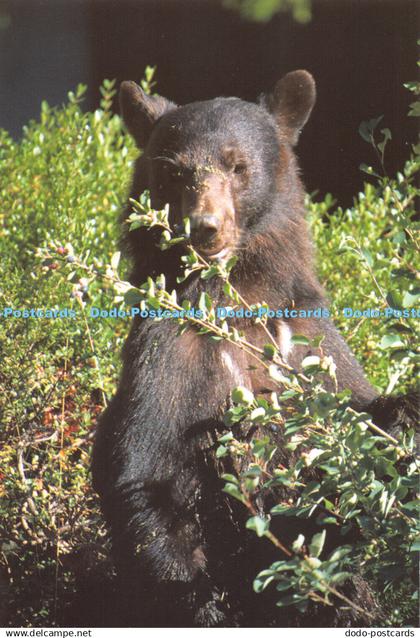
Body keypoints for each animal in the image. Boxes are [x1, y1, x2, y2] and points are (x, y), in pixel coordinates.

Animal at [92, 71, 416, 632]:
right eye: (174, 171)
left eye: (238, 165)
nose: (205, 227)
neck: (238, 297)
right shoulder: (170, 348)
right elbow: (144, 469)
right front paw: (206, 605)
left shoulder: (306, 333)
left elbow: (352, 406)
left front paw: (402, 417)